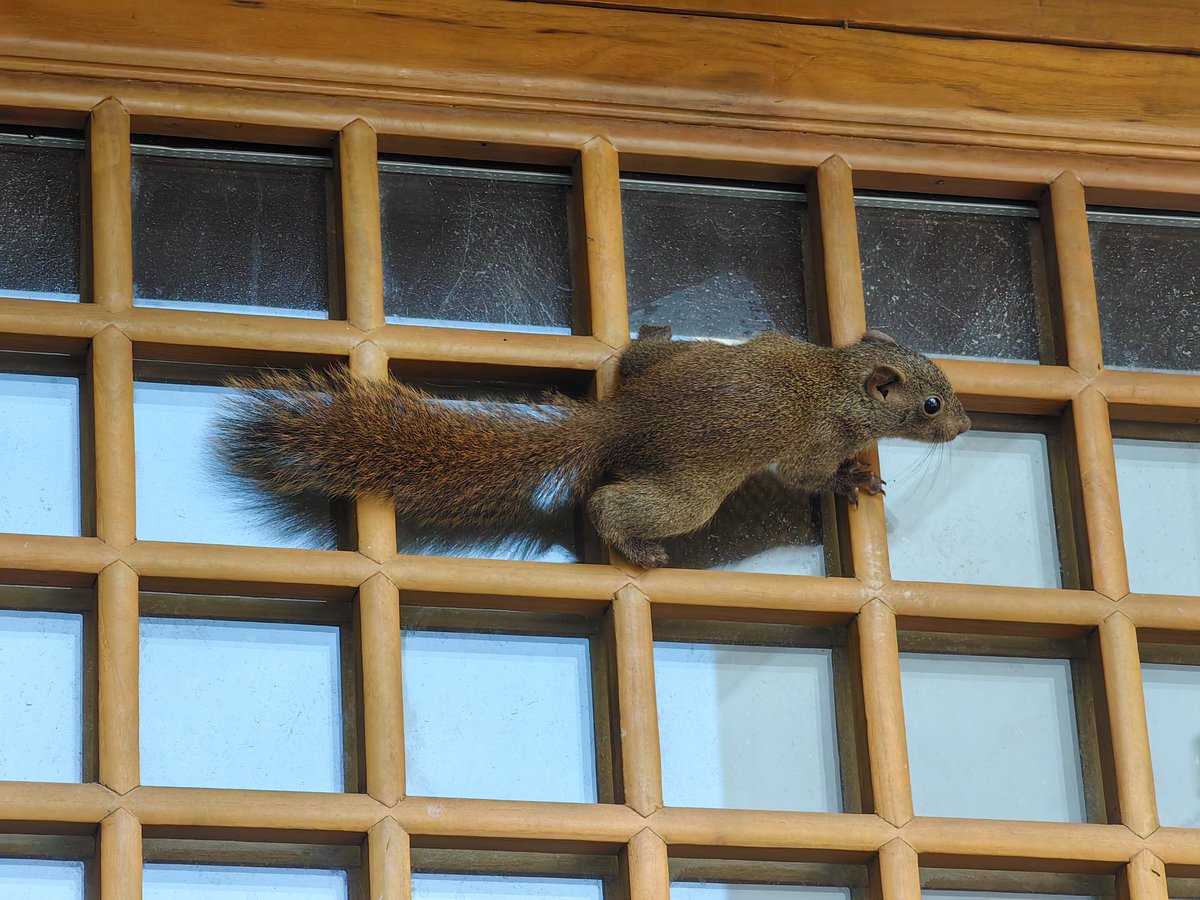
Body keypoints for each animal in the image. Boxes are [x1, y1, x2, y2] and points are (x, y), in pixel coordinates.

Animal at [216, 328, 971, 569]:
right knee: (615, 506)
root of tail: (621, 420)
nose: (965, 426)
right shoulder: (816, 438)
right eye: (930, 405)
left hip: (667, 363)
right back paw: (638, 547)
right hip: (689, 494)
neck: (836, 377)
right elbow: (811, 475)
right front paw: (852, 481)